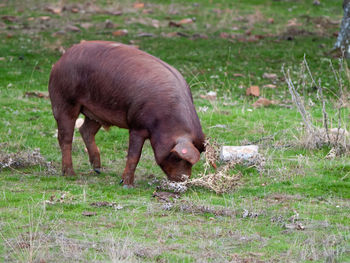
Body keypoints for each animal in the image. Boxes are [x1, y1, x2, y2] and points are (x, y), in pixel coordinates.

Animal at [47, 40, 204, 188]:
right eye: (177, 157)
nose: (184, 180)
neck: (165, 121)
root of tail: (60, 61)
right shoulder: (137, 126)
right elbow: (134, 156)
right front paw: (127, 185)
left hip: (96, 112)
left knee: (85, 130)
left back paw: (98, 170)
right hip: (64, 100)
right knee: (65, 137)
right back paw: (70, 174)